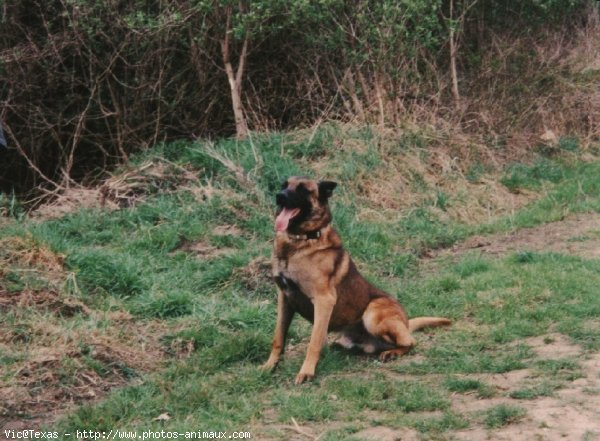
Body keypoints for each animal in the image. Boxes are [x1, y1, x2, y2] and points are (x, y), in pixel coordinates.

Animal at [262, 177, 450, 384]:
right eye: (284, 185)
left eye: (303, 189)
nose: (279, 196)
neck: (298, 243)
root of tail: (406, 322)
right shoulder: (284, 299)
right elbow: (278, 338)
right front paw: (269, 366)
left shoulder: (324, 300)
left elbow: (314, 342)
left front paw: (307, 372)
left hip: (372, 314)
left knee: (410, 341)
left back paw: (392, 352)